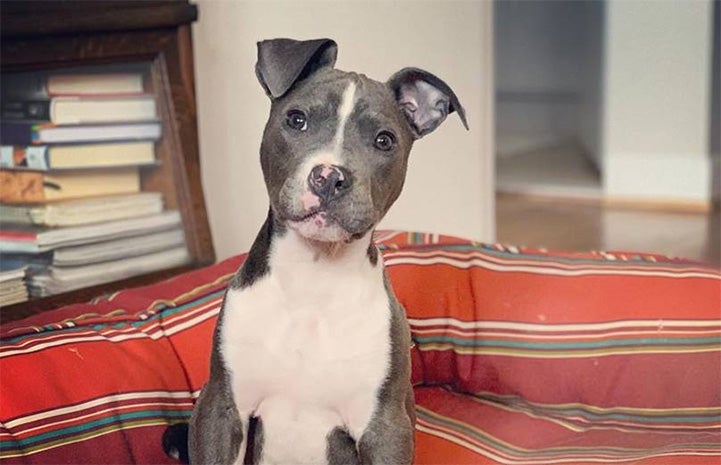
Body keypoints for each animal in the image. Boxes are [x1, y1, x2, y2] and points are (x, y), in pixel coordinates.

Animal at [186, 38, 466, 462]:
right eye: (296, 119)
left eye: (384, 140)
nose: (330, 177)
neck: (313, 275)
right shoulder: (221, 408)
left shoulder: (385, 427)